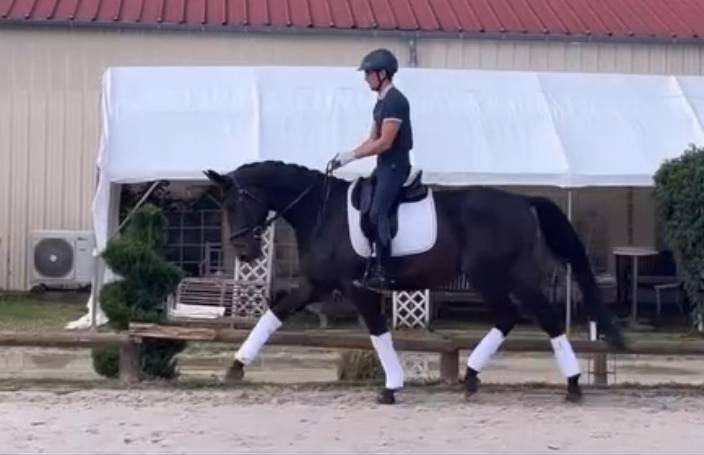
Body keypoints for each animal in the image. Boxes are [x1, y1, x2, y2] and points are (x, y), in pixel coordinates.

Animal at [203, 160, 626, 405]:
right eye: (224, 207)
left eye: (238, 203)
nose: (245, 252)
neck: (319, 210)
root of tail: (524, 202)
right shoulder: (318, 283)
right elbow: (275, 314)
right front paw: (235, 367)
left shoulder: (355, 286)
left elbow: (377, 332)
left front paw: (391, 386)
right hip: (492, 278)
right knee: (508, 317)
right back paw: (471, 377)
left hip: (503, 275)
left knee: (546, 318)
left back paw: (573, 386)